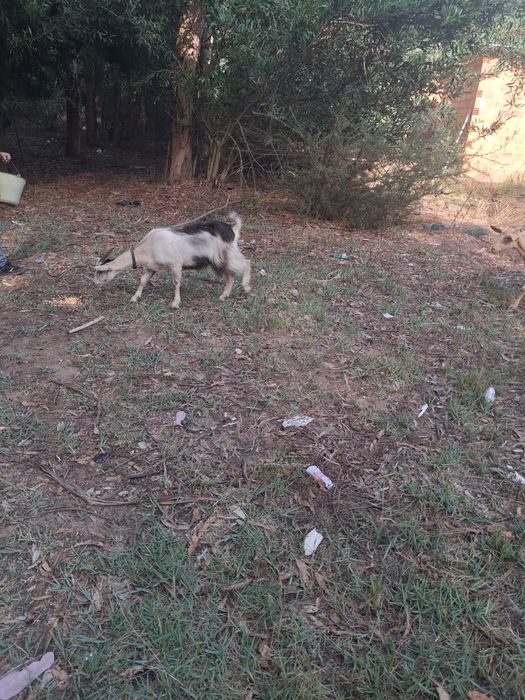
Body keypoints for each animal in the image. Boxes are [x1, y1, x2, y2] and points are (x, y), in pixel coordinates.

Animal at [94, 211, 251, 308]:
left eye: (100, 272)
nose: (94, 283)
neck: (149, 246)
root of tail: (233, 230)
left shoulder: (176, 264)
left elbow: (176, 283)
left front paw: (175, 303)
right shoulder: (151, 267)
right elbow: (143, 280)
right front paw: (134, 298)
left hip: (227, 254)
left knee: (246, 263)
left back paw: (246, 287)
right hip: (219, 261)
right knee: (230, 276)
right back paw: (223, 296)